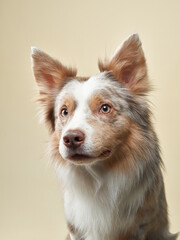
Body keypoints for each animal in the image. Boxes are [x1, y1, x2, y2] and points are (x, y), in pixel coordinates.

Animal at [30, 33, 177, 240]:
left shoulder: (139, 225)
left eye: (105, 108)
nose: (71, 138)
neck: (98, 177)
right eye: (64, 111)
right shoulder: (76, 228)